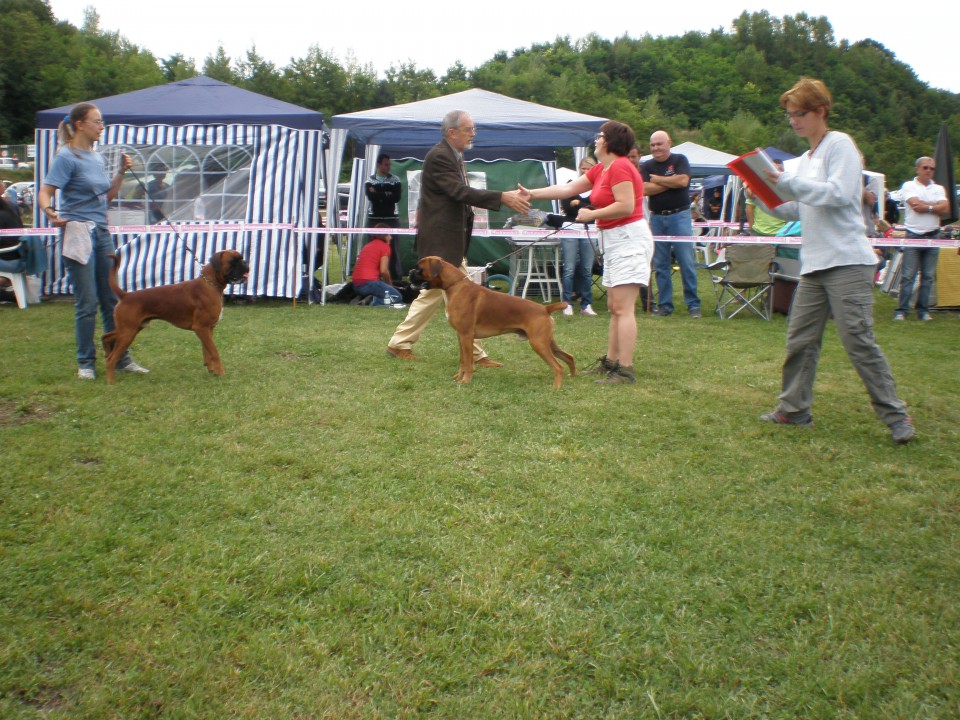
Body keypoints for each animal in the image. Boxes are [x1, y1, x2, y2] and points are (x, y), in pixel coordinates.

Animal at [406, 255, 576, 386]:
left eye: (419, 268)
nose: (409, 271)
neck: (455, 286)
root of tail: (544, 309)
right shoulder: (460, 336)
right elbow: (462, 360)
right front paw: (459, 377)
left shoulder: (466, 336)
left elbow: (468, 361)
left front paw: (466, 381)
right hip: (547, 342)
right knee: (569, 357)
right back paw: (573, 377)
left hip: (538, 343)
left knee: (558, 367)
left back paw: (556, 388)